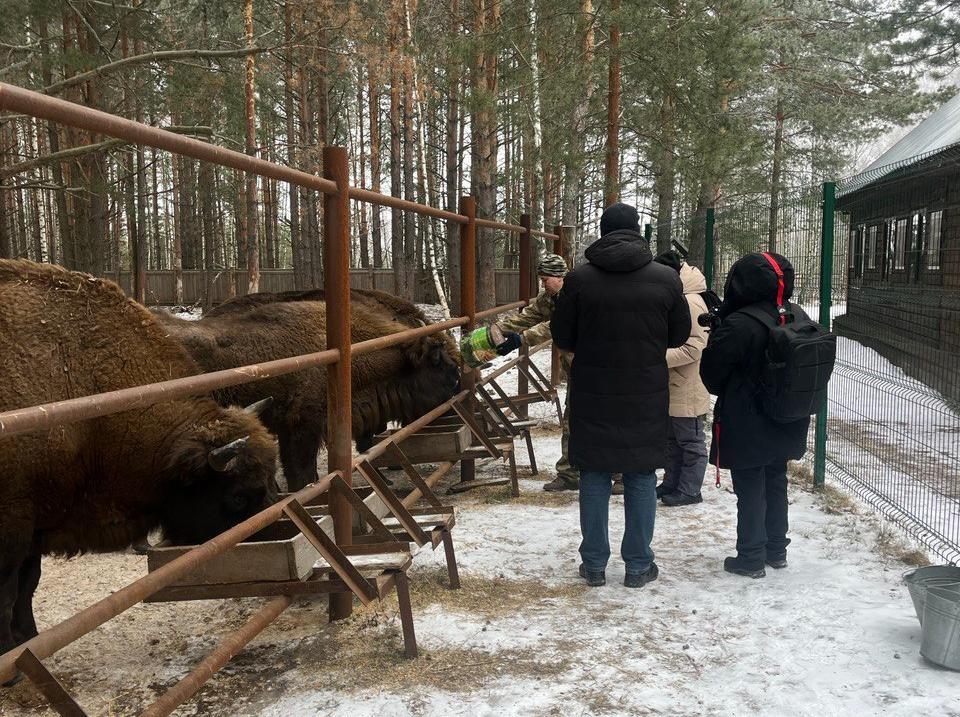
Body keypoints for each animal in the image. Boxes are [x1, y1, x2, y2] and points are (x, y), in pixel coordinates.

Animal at [0, 260, 278, 676]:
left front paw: (28, 641)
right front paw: (11, 662)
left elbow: (27, 584)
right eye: (239, 496)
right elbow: (8, 592)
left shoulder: (35, 523)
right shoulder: (14, 525)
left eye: (272, 480)